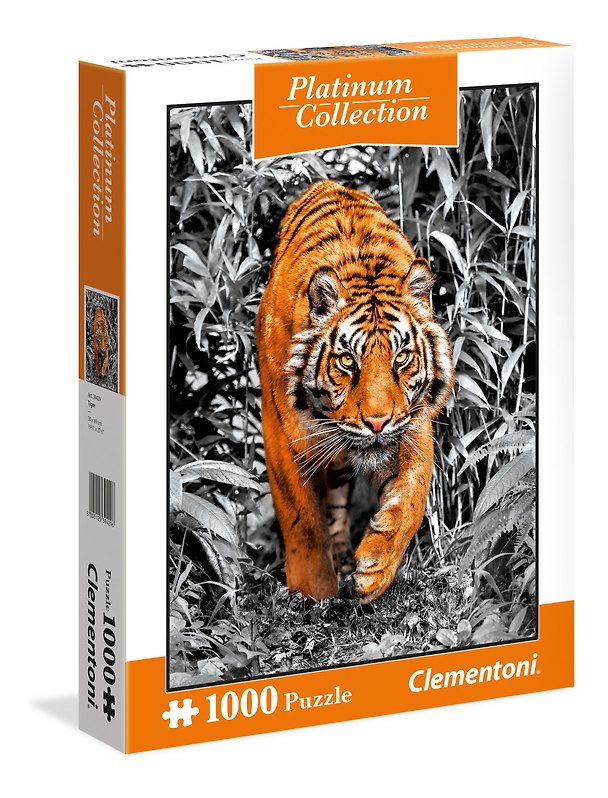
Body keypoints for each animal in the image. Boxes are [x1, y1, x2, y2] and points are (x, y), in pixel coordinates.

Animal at [256, 180, 454, 604]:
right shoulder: (282, 435)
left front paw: (375, 568)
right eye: (348, 361)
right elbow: (302, 517)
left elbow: (411, 498)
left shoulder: (414, 427)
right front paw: (314, 592)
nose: (377, 423)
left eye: (401, 358)